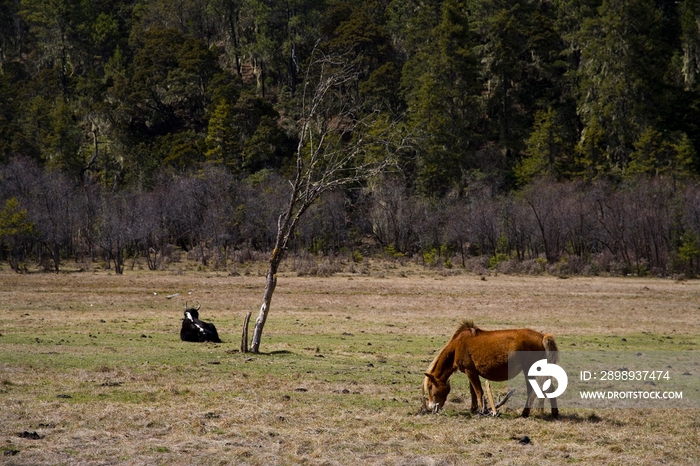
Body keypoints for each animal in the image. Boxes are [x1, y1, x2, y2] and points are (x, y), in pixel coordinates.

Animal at [424, 320, 560, 418]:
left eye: (430, 387)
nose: (431, 407)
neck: (458, 345)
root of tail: (543, 336)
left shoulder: (470, 371)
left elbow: (478, 391)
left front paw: (482, 410)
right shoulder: (471, 372)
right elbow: (473, 392)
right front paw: (473, 409)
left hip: (530, 370)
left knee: (532, 390)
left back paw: (525, 413)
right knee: (550, 388)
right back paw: (554, 413)